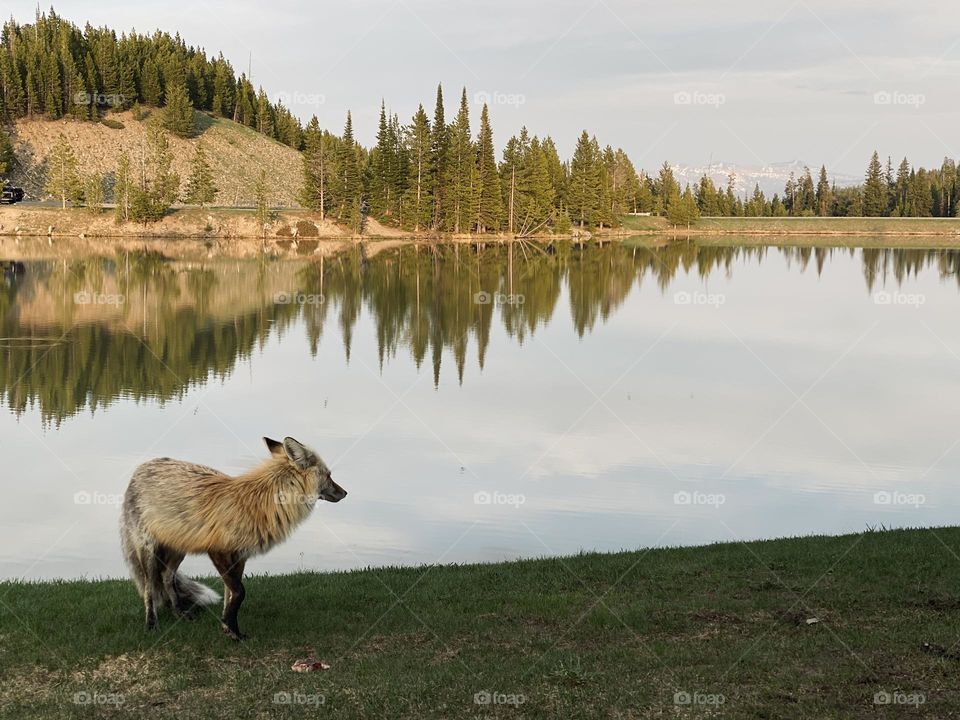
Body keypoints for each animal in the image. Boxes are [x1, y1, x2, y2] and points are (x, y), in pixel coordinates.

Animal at [119, 436, 344, 640]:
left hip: (178, 549)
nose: (345, 493)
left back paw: (180, 613)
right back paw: (151, 623)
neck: (262, 506)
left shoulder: (240, 556)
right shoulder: (217, 551)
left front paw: (229, 628)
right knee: (149, 587)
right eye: (329, 475)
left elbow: (230, 595)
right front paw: (232, 629)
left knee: (167, 577)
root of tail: (140, 468)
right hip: (149, 550)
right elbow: (239, 592)